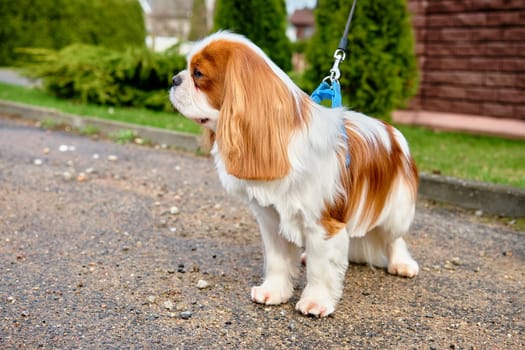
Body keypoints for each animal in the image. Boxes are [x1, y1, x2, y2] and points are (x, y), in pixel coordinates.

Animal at [170, 32, 420, 318]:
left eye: (198, 73)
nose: (174, 79)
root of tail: (392, 131)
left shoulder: (323, 223)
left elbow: (321, 268)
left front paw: (315, 302)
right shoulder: (271, 219)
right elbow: (278, 261)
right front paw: (274, 292)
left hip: (396, 209)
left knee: (395, 238)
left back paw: (402, 263)